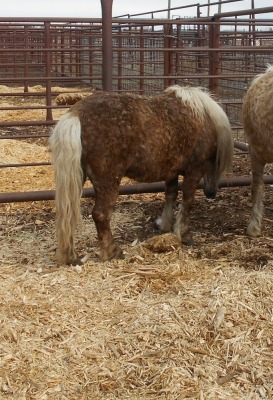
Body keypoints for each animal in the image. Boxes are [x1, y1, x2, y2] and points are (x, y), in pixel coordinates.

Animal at [49, 86, 232, 264]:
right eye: (217, 160)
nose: (211, 192)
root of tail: (76, 114)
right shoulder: (194, 170)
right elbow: (187, 202)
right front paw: (184, 235)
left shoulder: (171, 171)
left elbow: (170, 195)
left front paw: (165, 226)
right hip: (108, 181)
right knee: (100, 215)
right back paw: (113, 252)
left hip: (77, 178)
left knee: (68, 214)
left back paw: (70, 256)